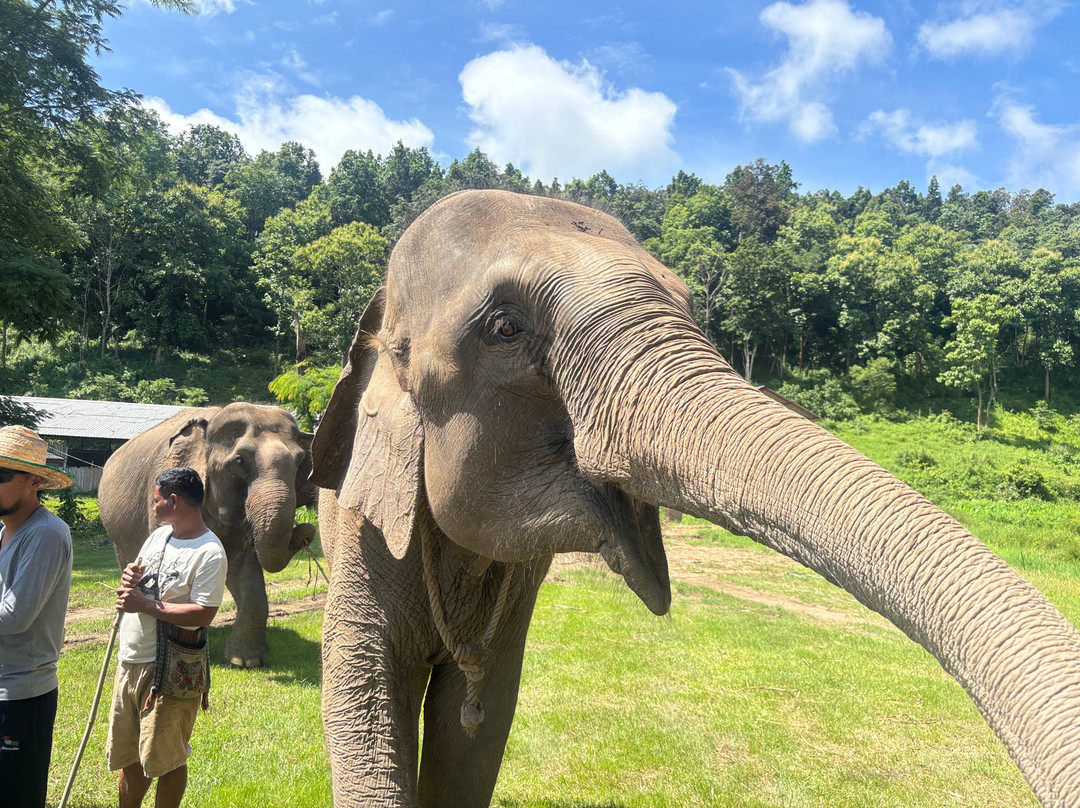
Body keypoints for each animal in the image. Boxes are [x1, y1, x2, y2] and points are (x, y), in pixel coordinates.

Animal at [99, 401, 317, 668]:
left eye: (300, 460)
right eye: (239, 461)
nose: (306, 530)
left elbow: (245, 571)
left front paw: (246, 661)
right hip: (116, 530)